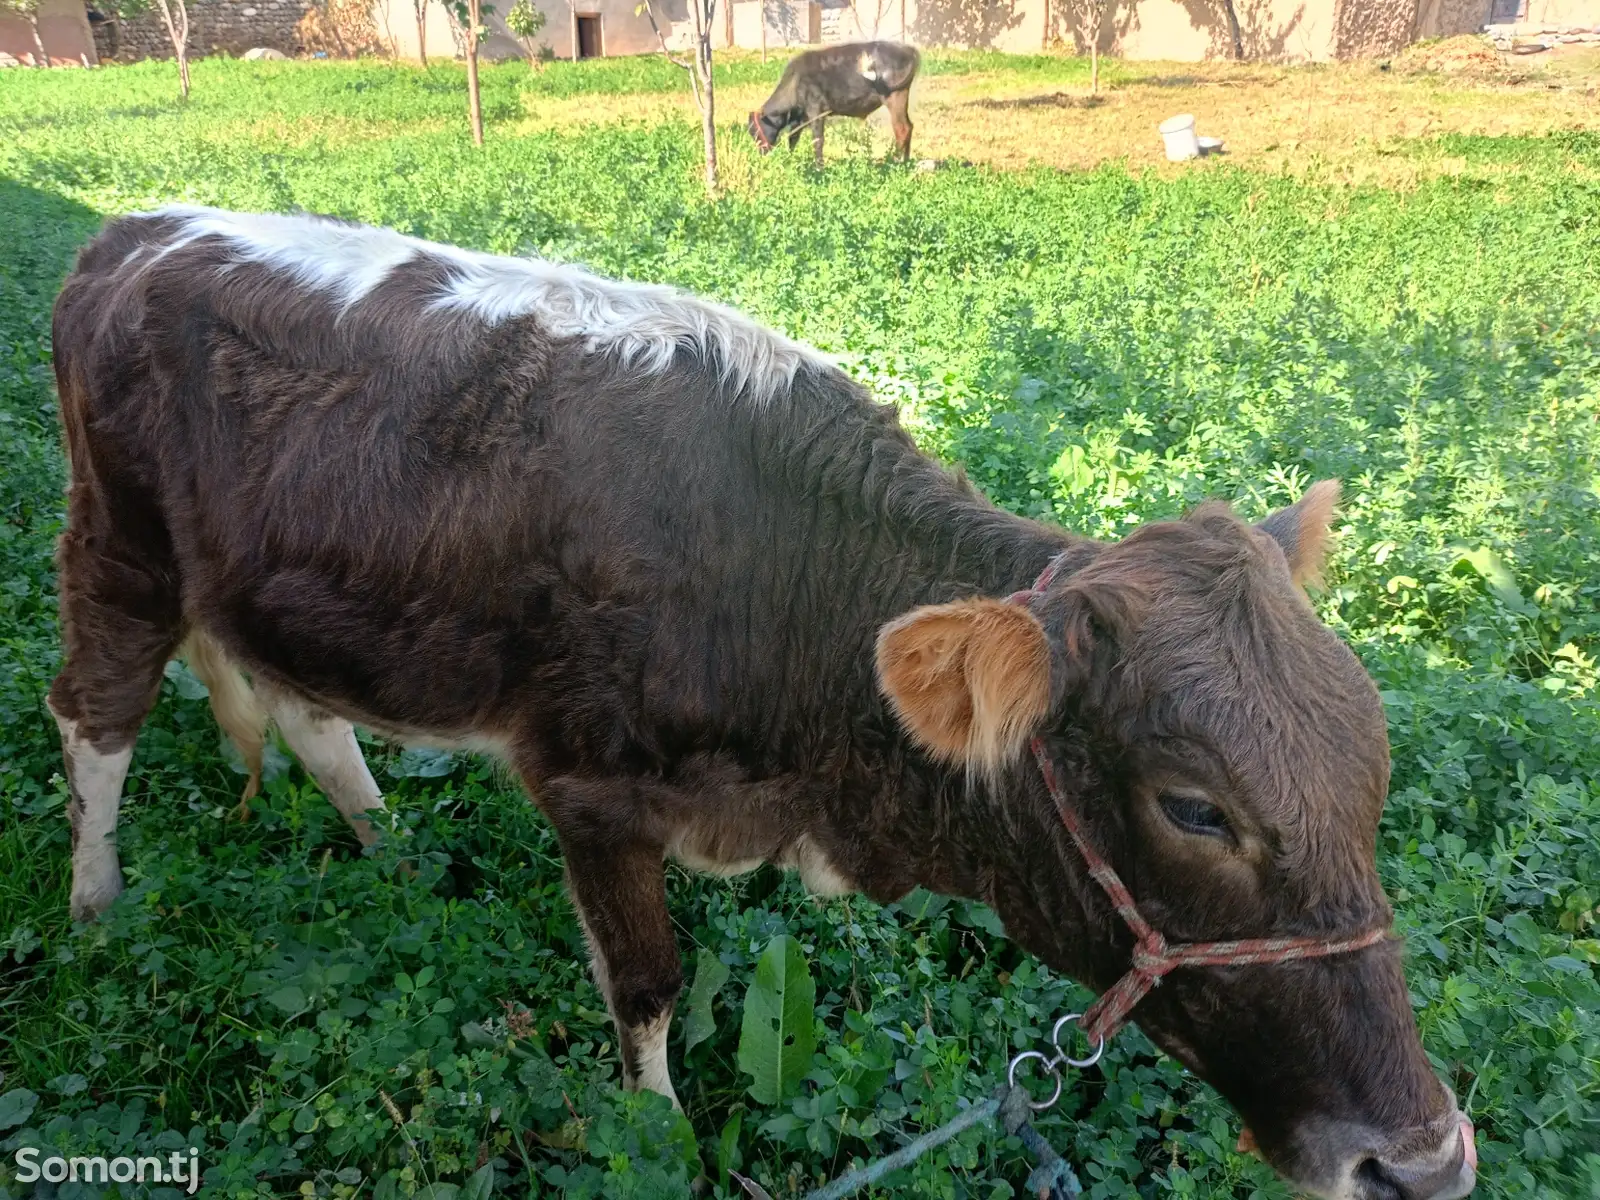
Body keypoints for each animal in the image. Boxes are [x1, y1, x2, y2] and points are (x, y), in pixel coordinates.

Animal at [50, 209, 1472, 1200]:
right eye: (1194, 808)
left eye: (1373, 768)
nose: (1422, 1158)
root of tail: (139, 230)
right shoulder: (590, 786)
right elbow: (648, 985)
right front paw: (656, 1135)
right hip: (120, 544)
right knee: (93, 716)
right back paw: (97, 905)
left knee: (304, 714)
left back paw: (384, 848)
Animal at [745, 40, 921, 164]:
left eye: (755, 131)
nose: (762, 152)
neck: (795, 82)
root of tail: (909, 49)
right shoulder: (800, 118)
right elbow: (793, 138)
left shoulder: (816, 111)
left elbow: (817, 141)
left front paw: (819, 167)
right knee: (909, 126)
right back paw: (906, 162)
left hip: (894, 97)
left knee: (901, 128)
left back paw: (895, 162)